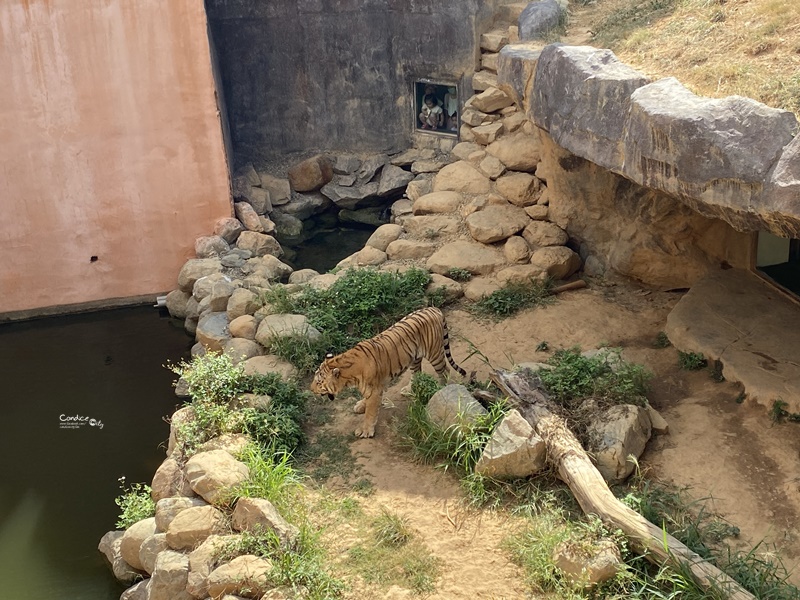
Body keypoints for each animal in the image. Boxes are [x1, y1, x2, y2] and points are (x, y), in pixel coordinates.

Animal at [308, 308, 468, 438]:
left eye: (319, 382)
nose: (311, 389)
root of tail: (435, 309)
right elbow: (365, 399)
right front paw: (360, 406)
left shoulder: (374, 390)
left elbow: (370, 413)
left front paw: (366, 431)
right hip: (414, 357)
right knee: (417, 373)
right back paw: (409, 390)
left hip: (434, 353)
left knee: (445, 370)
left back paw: (440, 389)